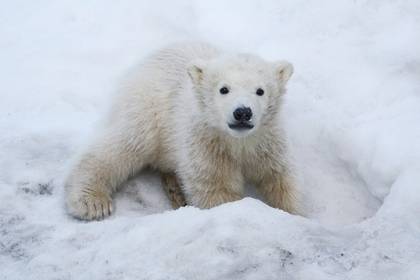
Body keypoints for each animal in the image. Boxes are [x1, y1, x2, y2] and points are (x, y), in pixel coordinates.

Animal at [65, 42, 298, 221]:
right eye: (223, 89)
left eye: (260, 91)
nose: (242, 113)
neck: (238, 142)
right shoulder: (205, 144)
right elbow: (215, 189)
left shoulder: (268, 144)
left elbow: (280, 180)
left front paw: (291, 214)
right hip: (150, 110)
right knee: (122, 145)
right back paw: (91, 201)